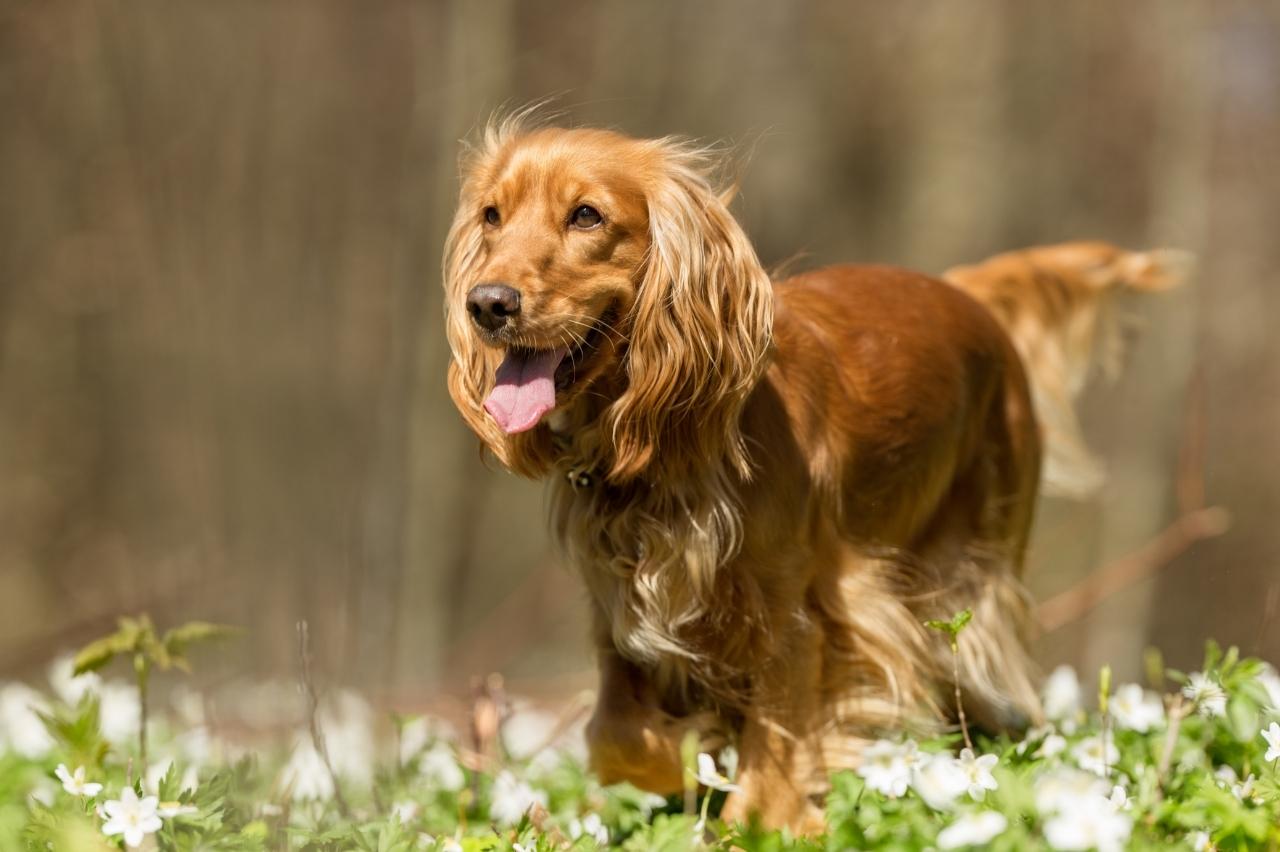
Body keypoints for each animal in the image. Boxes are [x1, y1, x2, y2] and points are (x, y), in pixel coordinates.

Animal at [445, 116, 1182, 823]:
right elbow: (623, 738)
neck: (667, 450)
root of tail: (962, 289)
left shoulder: (797, 617)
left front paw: (768, 815)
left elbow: (771, 764)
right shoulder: (619, 617)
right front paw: (693, 748)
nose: (486, 304)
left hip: (967, 582)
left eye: (587, 216)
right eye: (492, 215)